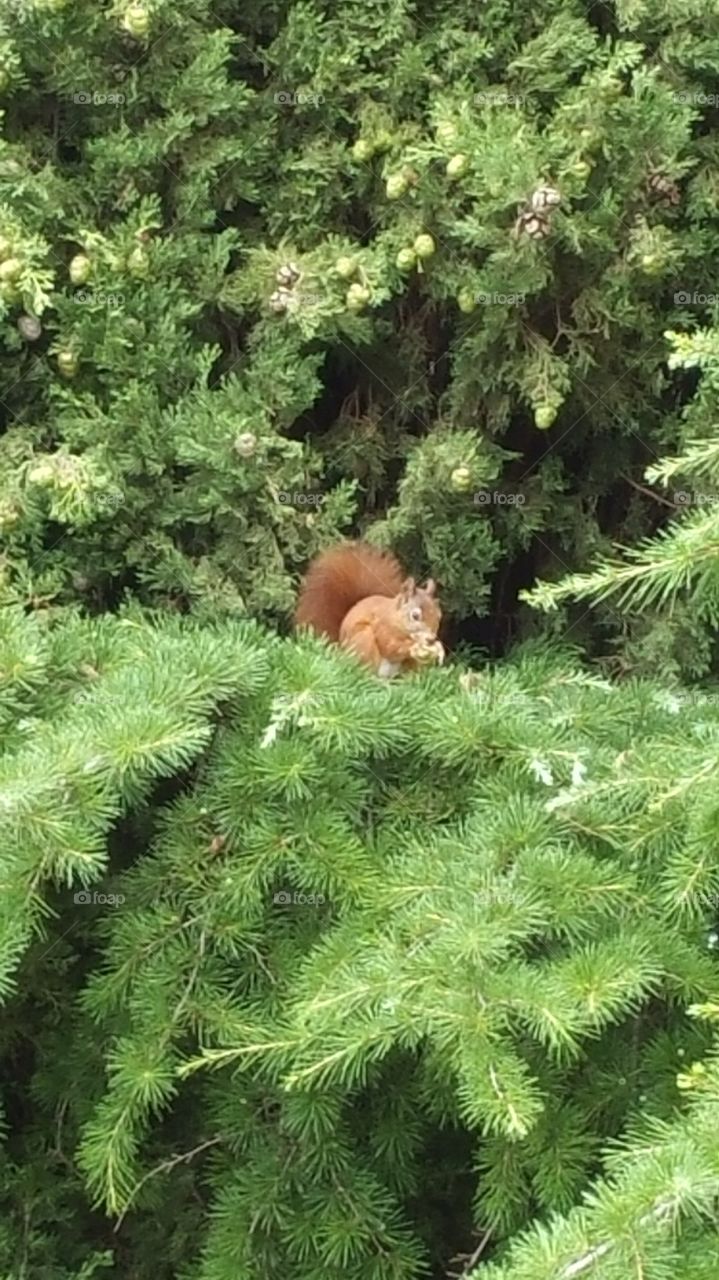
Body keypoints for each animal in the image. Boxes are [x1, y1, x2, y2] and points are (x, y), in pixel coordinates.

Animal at [295, 541, 444, 676]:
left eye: (439, 616)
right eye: (415, 616)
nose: (431, 639)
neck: (396, 619)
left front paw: (437, 649)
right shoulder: (383, 627)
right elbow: (390, 647)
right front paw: (415, 647)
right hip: (364, 640)